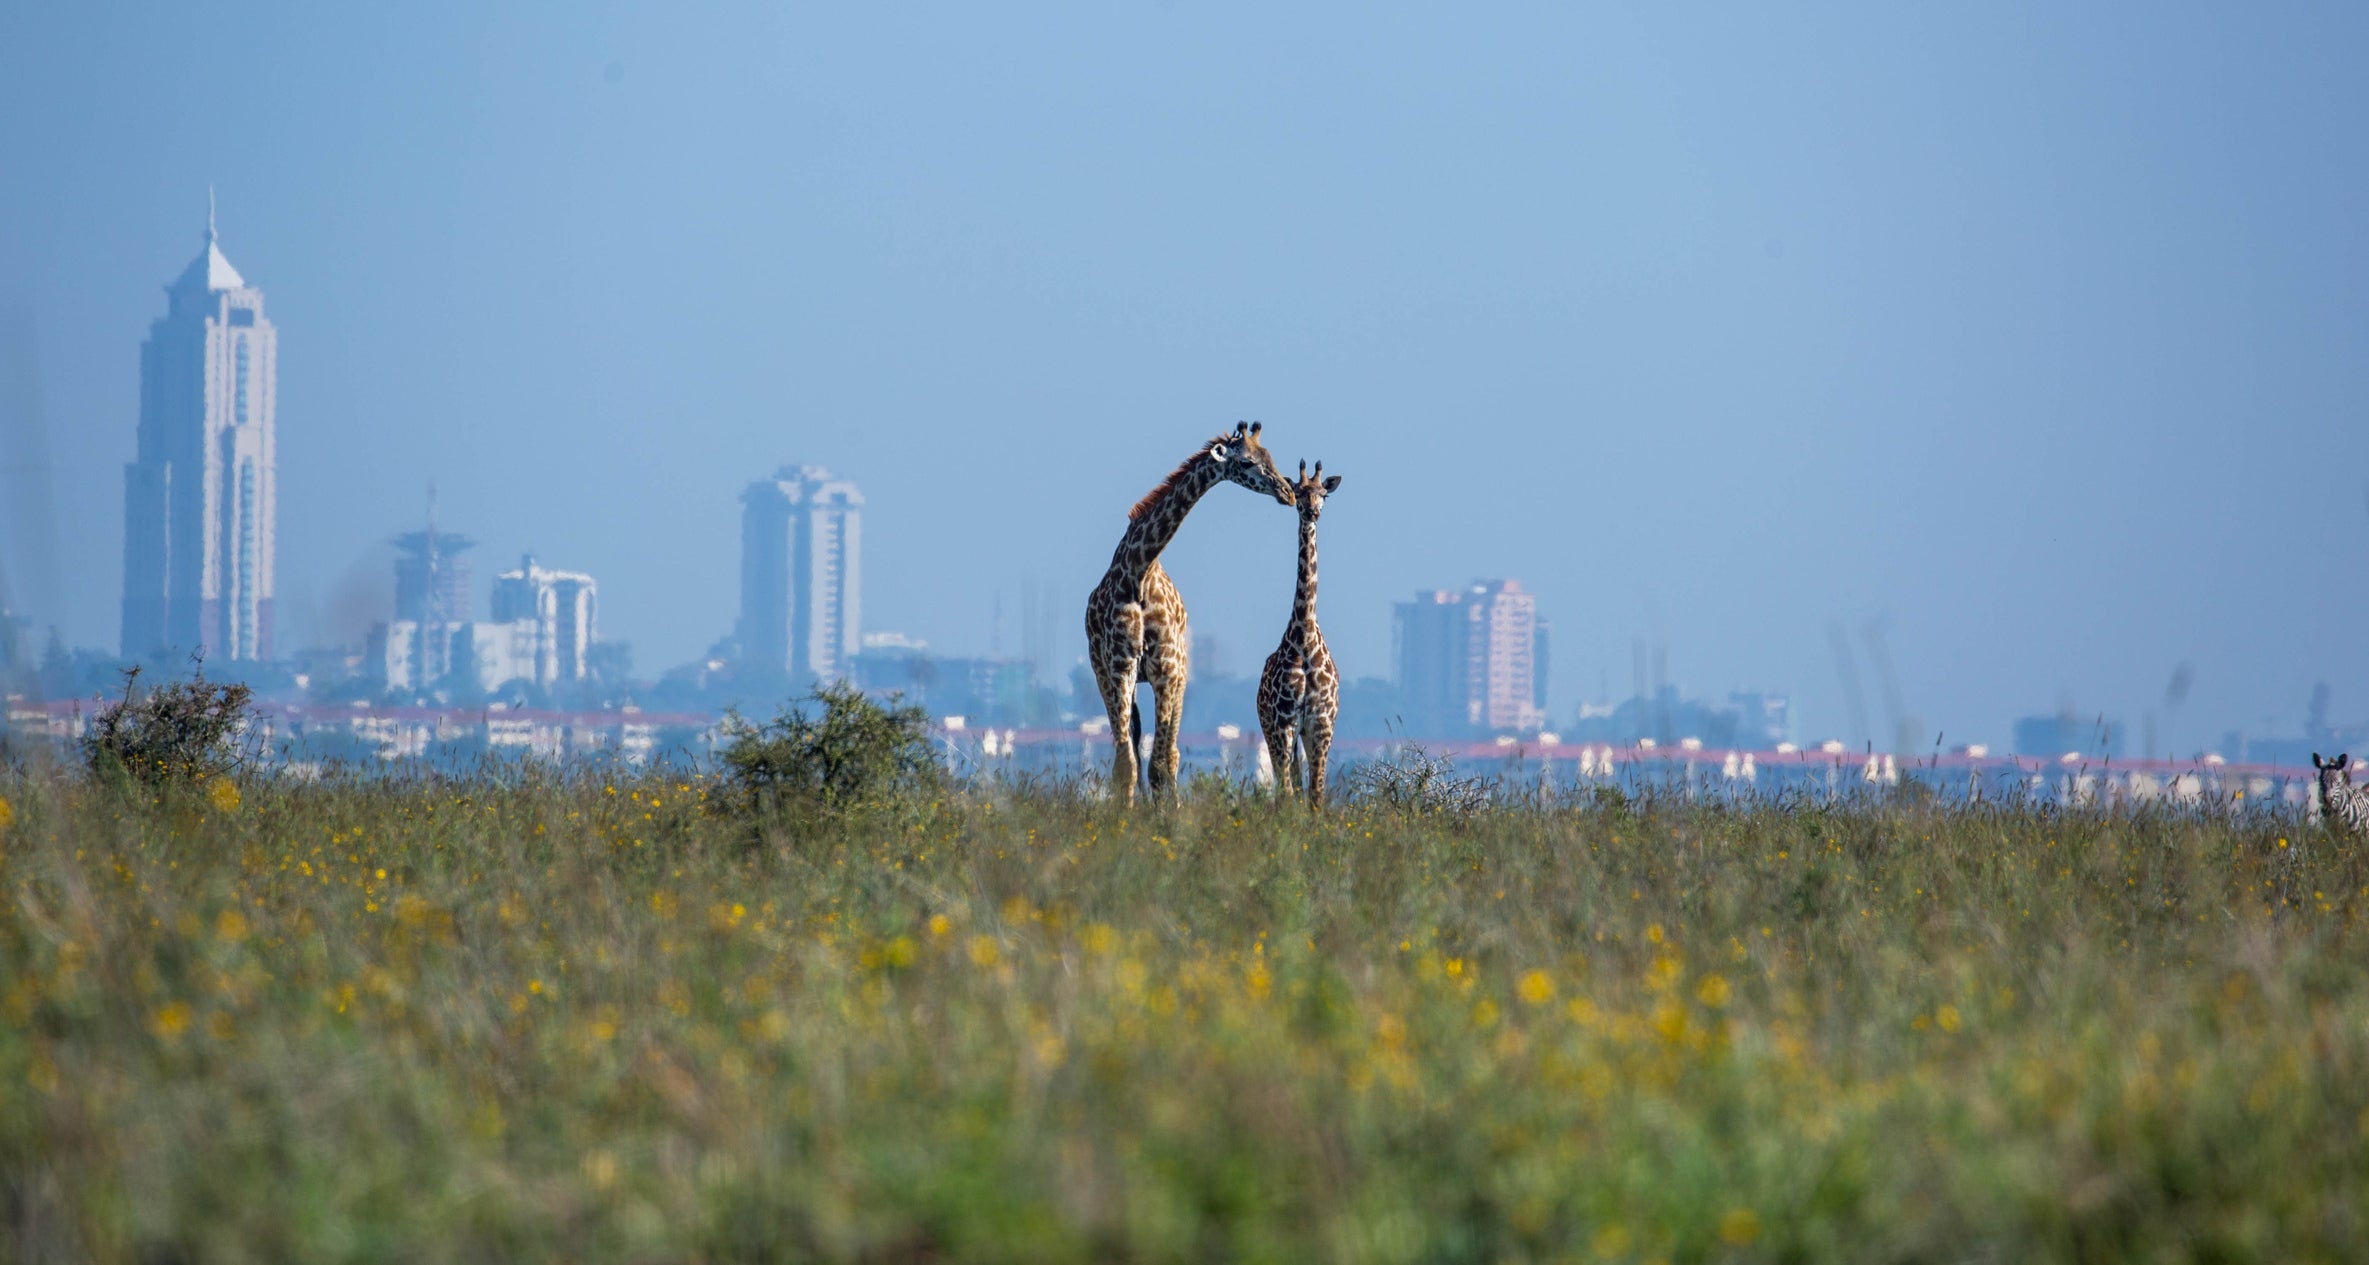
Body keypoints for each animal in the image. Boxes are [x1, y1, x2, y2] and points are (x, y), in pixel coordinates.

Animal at [1086, 422, 1294, 804]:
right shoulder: (1121, 667)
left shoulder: (1166, 669)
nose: (1287, 493)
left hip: (1178, 675)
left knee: (1169, 754)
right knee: (1136, 747)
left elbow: (1161, 763)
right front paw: (1126, 814)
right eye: (1246, 463)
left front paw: (1169, 815)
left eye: (1270, 456)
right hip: (1103, 673)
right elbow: (1127, 763)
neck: (1138, 570)